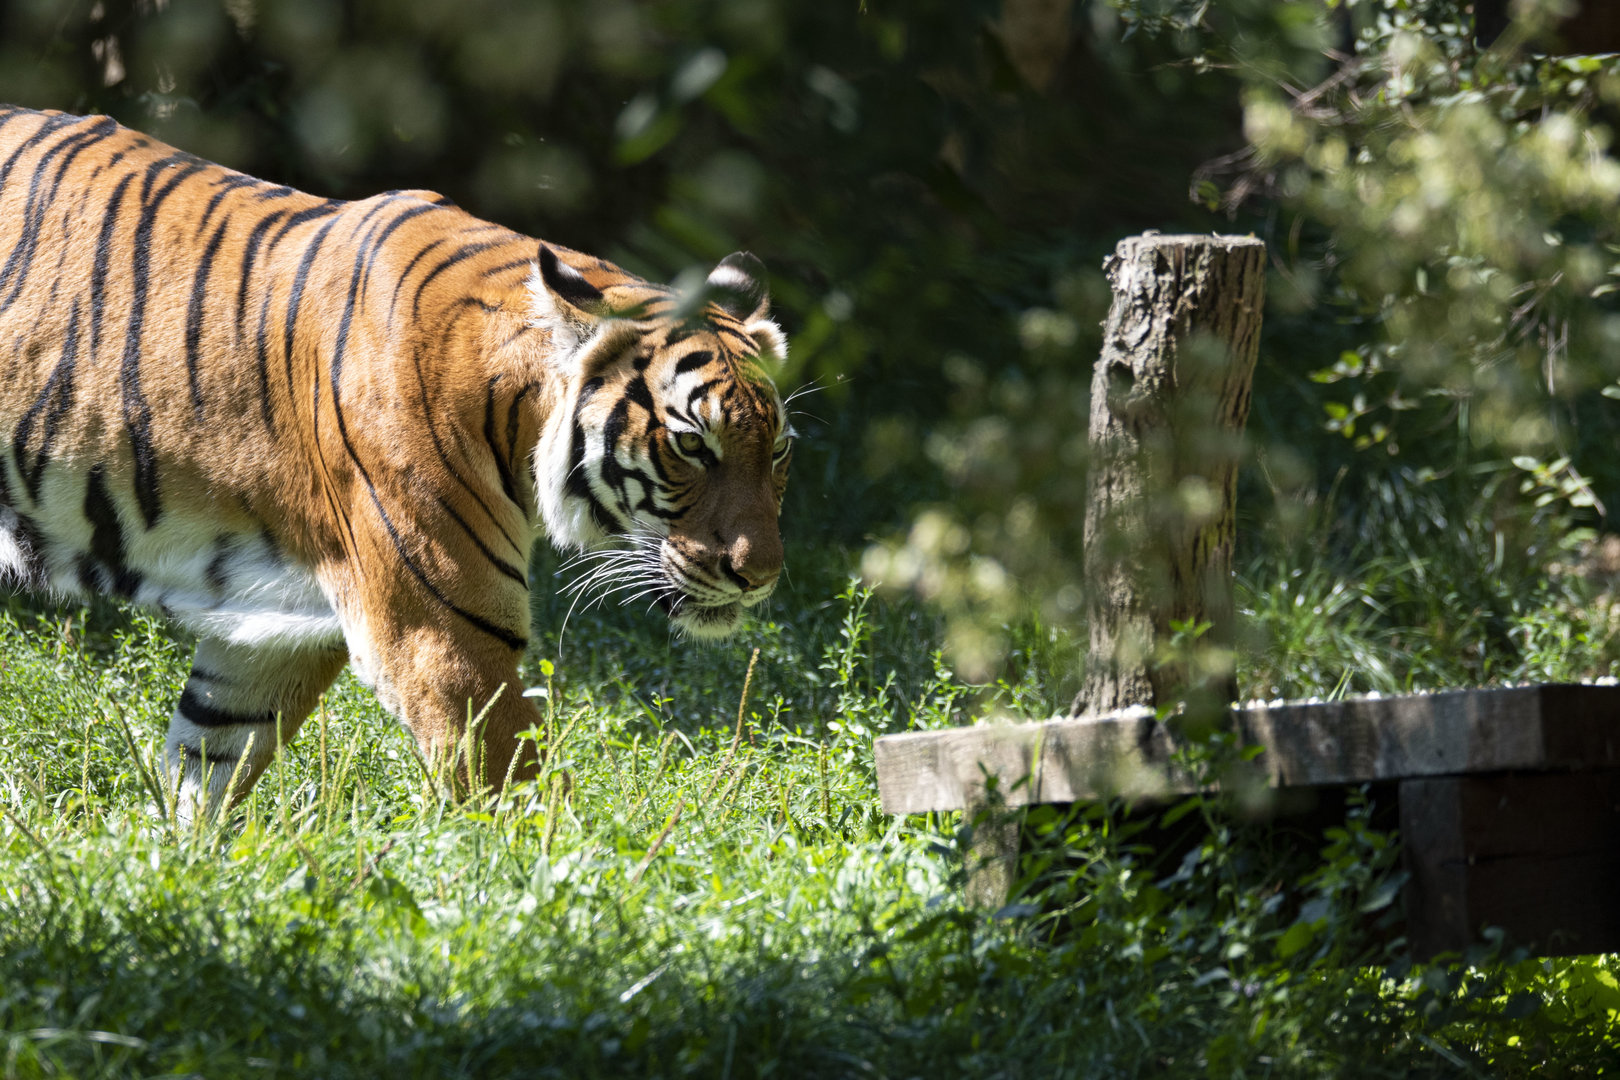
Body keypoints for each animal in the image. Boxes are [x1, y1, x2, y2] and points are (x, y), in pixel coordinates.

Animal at [0, 105, 793, 817]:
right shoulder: (444, 639)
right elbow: (524, 798)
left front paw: (169, 867)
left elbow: (207, 763)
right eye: (690, 444)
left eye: (778, 450)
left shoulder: (269, 633)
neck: (512, 408)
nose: (759, 578)